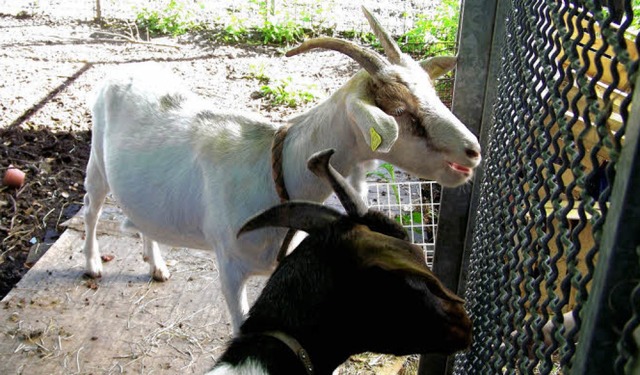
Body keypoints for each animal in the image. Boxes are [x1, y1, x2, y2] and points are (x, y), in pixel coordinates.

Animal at [81, 6, 480, 334]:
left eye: (432, 93)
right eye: (399, 111)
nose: (472, 151)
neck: (274, 171)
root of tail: (123, 70)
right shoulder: (229, 268)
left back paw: (156, 265)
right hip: (96, 164)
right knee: (91, 210)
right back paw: (93, 264)